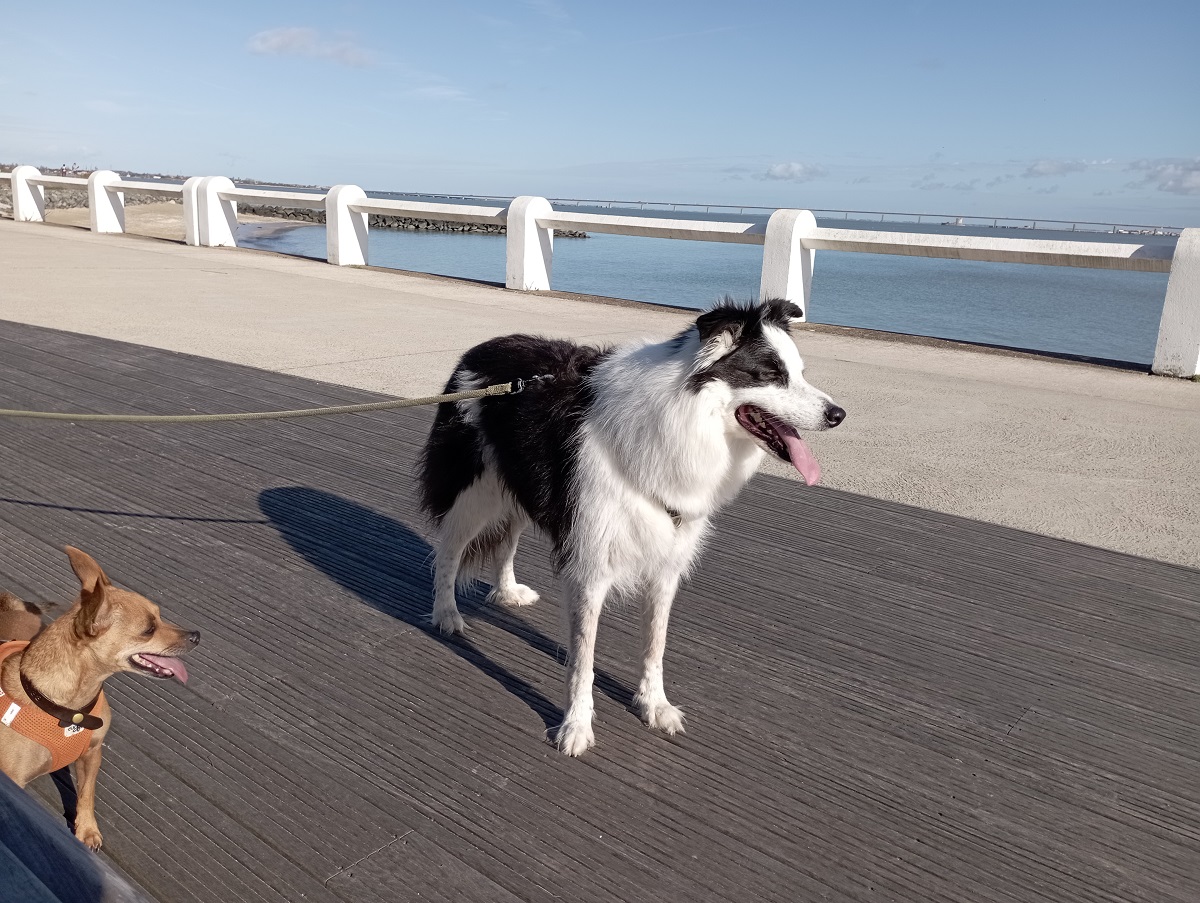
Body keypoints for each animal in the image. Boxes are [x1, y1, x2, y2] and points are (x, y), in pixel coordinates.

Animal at [0, 547, 196, 850]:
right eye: (149, 629)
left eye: (161, 617)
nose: (196, 636)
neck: (70, 708)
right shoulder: (13, 785)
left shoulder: (92, 754)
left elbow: (86, 795)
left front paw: (86, 830)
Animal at [420, 297, 844, 754]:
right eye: (770, 374)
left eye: (800, 372)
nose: (838, 414)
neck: (683, 418)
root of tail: (481, 349)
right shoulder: (590, 562)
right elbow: (583, 658)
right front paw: (575, 726)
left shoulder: (666, 561)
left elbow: (655, 643)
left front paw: (653, 705)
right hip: (473, 493)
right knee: (448, 550)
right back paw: (446, 614)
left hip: (519, 487)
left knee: (506, 541)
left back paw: (507, 591)